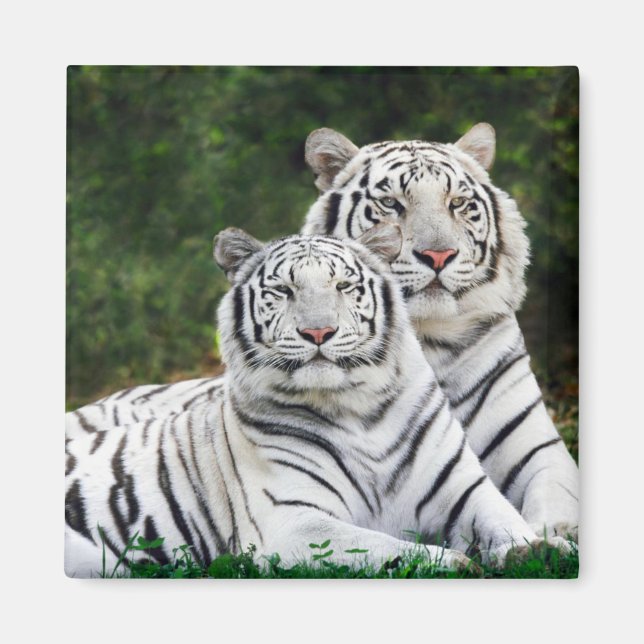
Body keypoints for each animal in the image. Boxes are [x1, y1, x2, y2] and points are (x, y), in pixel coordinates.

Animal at [65, 225, 565, 578]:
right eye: (283, 291)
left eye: (343, 286)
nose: (318, 332)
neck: (361, 411)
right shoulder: (293, 523)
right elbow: (384, 548)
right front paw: (458, 563)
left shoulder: (463, 488)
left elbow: (505, 519)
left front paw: (540, 549)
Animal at [300, 123, 579, 542]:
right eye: (392, 204)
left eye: (458, 203)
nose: (438, 256)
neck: (429, 339)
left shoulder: (539, 446)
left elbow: (555, 497)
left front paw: (551, 536)